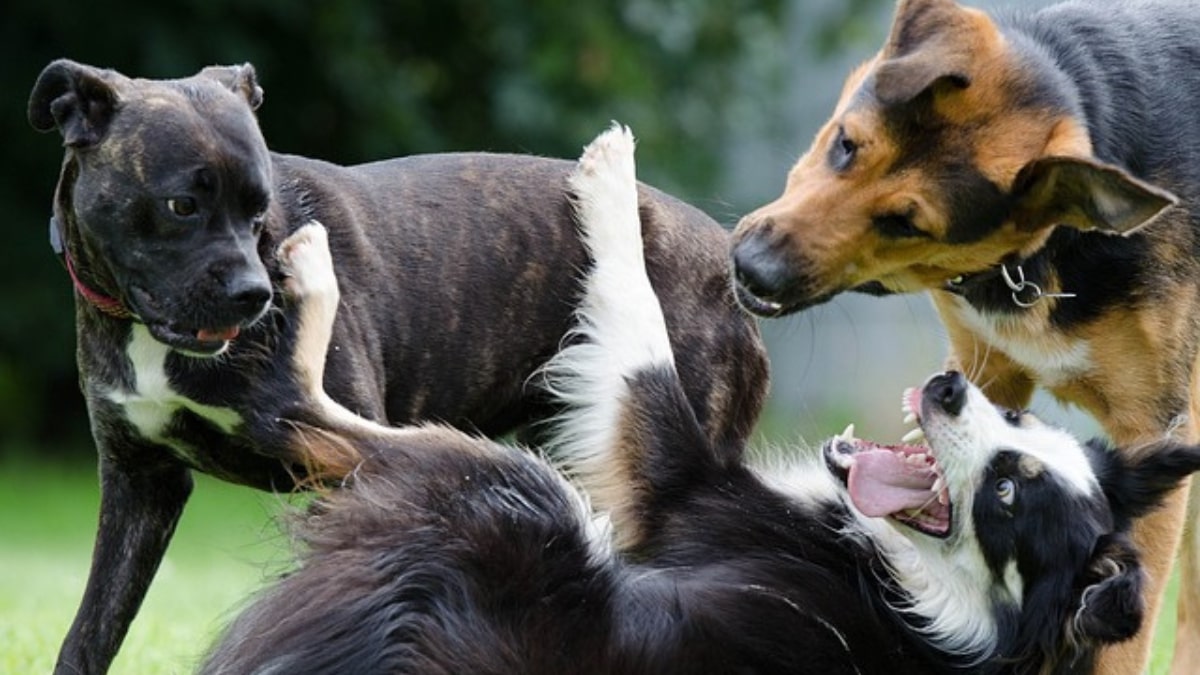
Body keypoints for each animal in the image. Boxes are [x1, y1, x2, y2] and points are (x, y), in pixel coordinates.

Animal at [28, 60, 768, 667]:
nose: (255, 294)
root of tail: (726, 264)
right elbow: (92, 630)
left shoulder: (341, 472)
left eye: (260, 209)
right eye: (182, 204)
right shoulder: (138, 482)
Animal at [196, 127, 1200, 672]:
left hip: (521, 491)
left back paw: (310, 272)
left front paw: (609, 181)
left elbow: (639, 336)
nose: (952, 387)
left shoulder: (678, 487)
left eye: (1006, 495)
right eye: (1021, 419)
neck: (924, 594)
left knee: (300, 409)